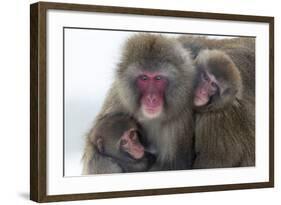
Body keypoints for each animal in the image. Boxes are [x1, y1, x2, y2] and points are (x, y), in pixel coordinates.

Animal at [82, 33, 196, 173]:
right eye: (144, 78)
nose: (151, 98)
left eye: (158, 78)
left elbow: (172, 165)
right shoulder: (119, 97)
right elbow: (93, 143)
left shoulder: (180, 117)